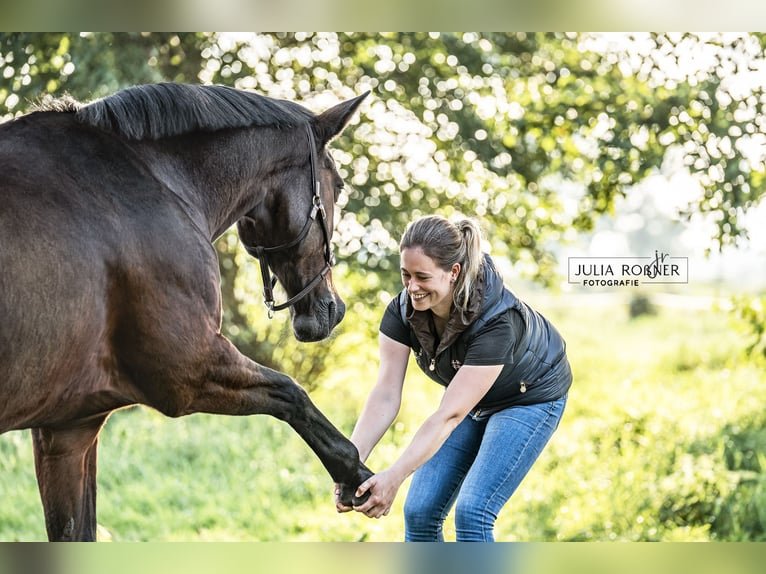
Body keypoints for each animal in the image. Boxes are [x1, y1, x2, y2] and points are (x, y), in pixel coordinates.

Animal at [0, 82, 373, 541]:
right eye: (339, 185)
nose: (328, 310)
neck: (159, 182)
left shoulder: (68, 429)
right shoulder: (189, 372)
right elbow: (295, 396)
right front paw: (357, 477)